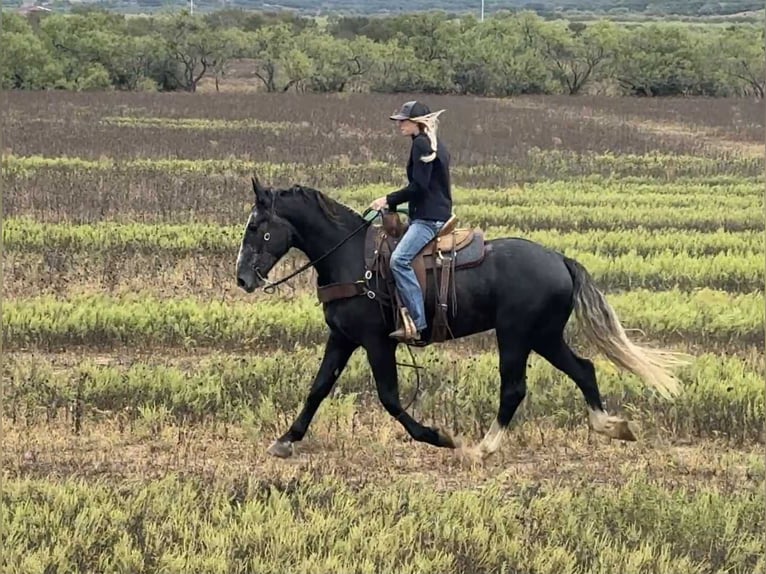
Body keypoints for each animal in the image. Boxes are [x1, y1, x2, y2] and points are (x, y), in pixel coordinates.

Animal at [235, 177, 689, 462]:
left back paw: (483, 448)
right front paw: (286, 440)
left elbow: (390, 398)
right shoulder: (342, 338)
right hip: (544, 336)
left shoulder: (377, 340)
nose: (242, 279)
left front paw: (438, 437)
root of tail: (559, 259)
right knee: (584, 369)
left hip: (516, 335)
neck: (351, 259)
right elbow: (317, 390)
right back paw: (610, 426)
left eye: (257, 226)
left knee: (515, 389)